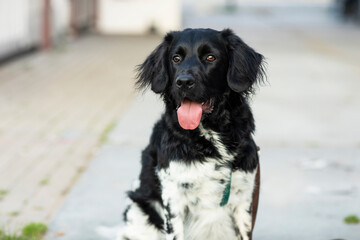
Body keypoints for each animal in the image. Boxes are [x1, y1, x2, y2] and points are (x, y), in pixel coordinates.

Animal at [118, 28, 264, 240]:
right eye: (176, 58)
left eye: (211, 57)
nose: (184, 82)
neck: (210, 139)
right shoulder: (174, 198)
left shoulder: (244, 197)